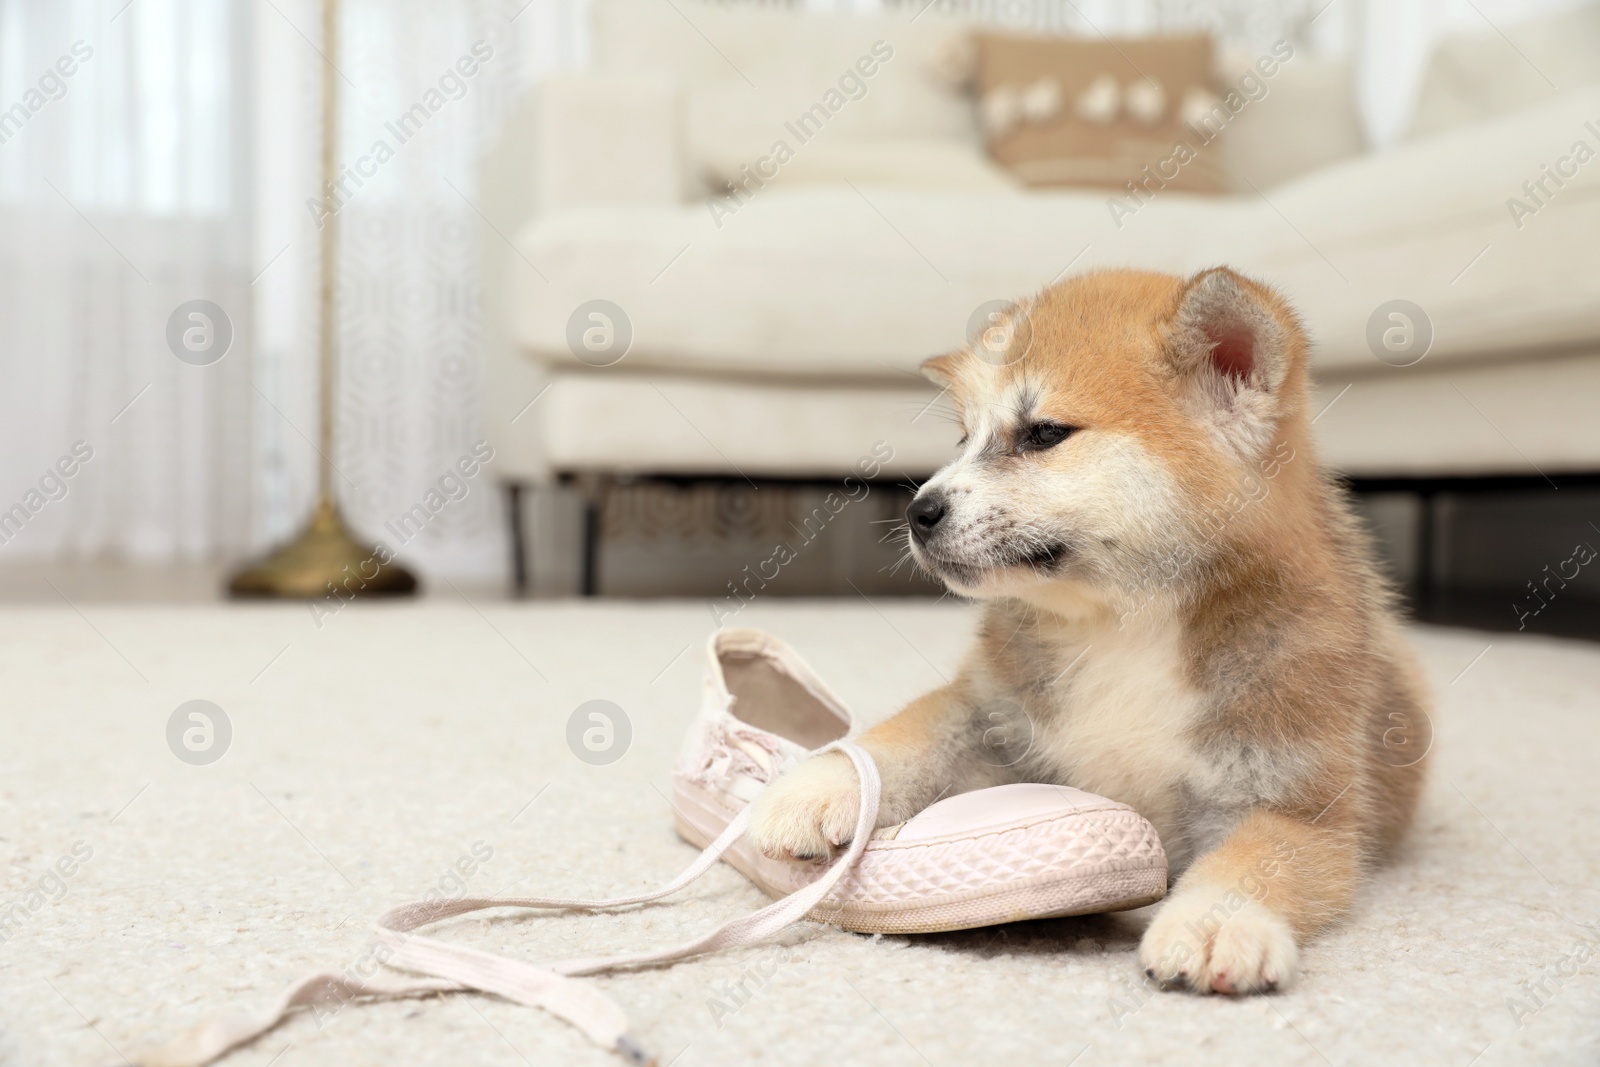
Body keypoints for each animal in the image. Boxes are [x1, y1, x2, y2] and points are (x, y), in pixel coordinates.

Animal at [742, 265, 1433, 991]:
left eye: (1044, 433)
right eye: (964, 439)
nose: (917, 512)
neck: (1125, 626)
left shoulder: (1297, 808)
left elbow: (1251, 863)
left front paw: (1212, 922)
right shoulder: (994, 712)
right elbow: (912, 732)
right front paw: (819, 784)